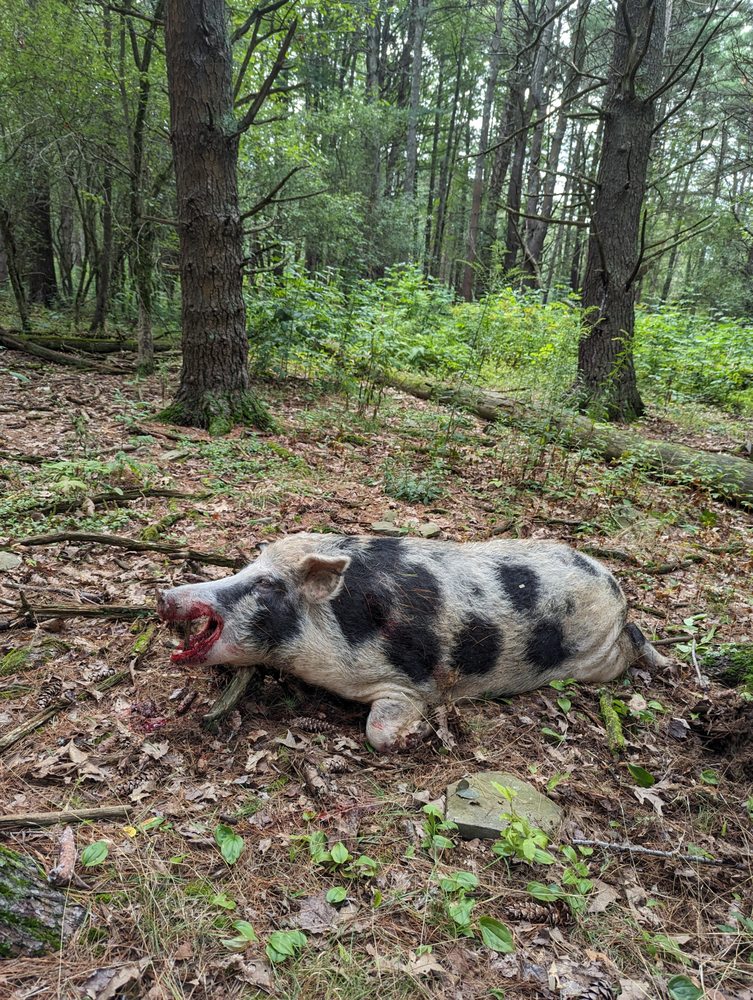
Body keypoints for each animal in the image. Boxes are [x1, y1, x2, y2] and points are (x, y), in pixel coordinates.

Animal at [156, 533, 667, 751]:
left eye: (265, 583)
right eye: (245, 568)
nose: (165, 595)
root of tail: (615, 583)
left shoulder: (406, 682)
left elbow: (378, 730)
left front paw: (418, 736)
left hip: (599, 655)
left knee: (634, 642)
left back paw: (663, 663)